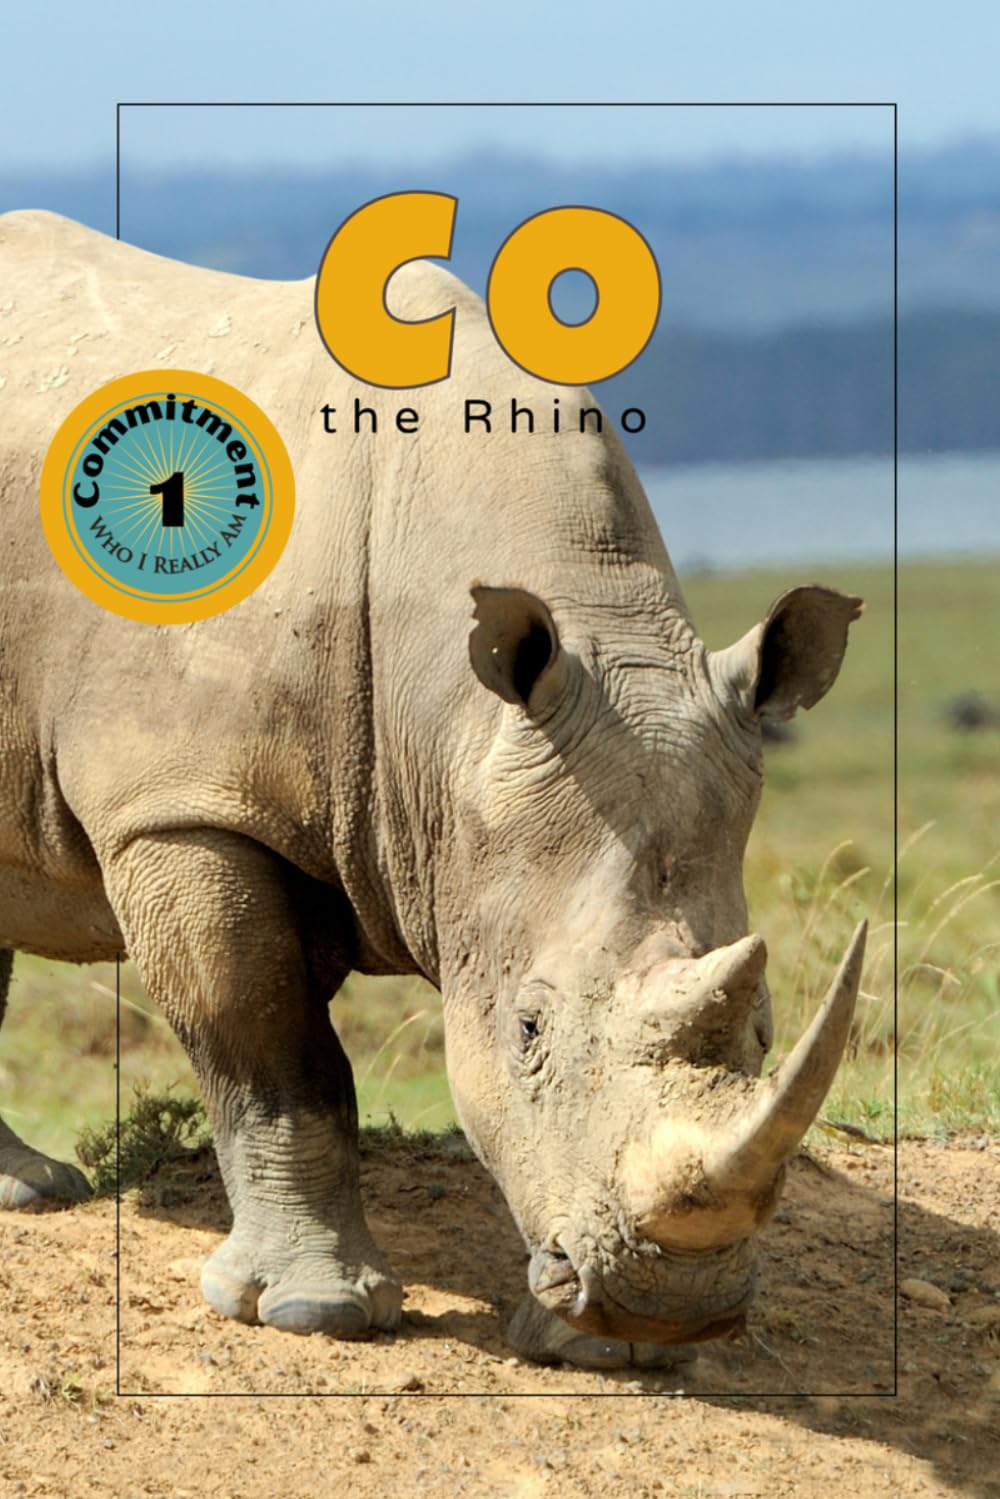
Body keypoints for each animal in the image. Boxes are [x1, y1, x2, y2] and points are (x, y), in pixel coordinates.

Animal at [0, 210, 865, 1369]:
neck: (450, 725)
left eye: (768, 1030)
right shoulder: (181, 802)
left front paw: (597, 1348)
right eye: (528, 1029)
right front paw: (312, 1311)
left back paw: (30, 1191)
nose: (666, 1303)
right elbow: (264, 1034)